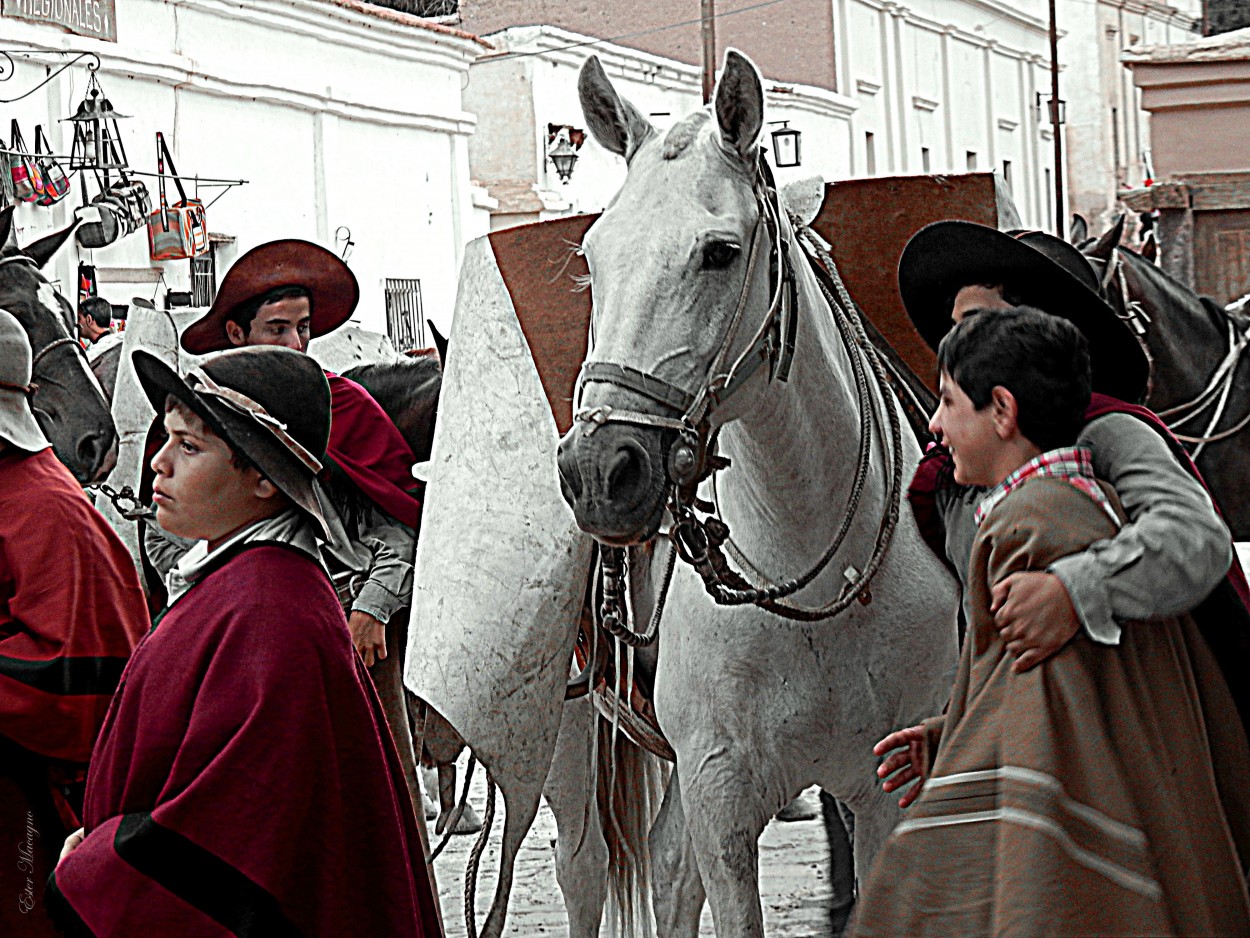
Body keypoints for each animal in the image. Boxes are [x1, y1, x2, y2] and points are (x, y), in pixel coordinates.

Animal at [552, 53, 960, 938]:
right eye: (593, 256)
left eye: (719, 252)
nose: (600, 472)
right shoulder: (722, 797)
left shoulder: (891, 783)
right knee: (589, 872)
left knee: (668, 871)